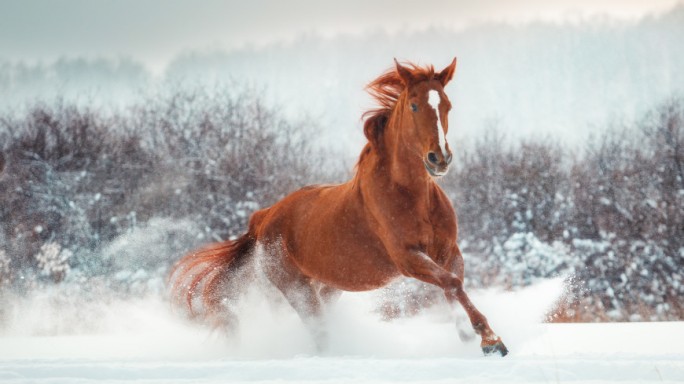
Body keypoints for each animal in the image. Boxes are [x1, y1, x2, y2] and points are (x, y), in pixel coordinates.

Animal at [171, 58, 508, 356]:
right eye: (414, 105)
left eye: (447, 105)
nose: (439, 159)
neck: (410, 196)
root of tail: (264, 218)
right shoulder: (407, 258)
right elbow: (452, 282)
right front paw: (491, 341)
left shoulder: (448, 250)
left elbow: (453, 284)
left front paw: (467, 334)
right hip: (296, 289)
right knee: (318, 331)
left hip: (329, 286)